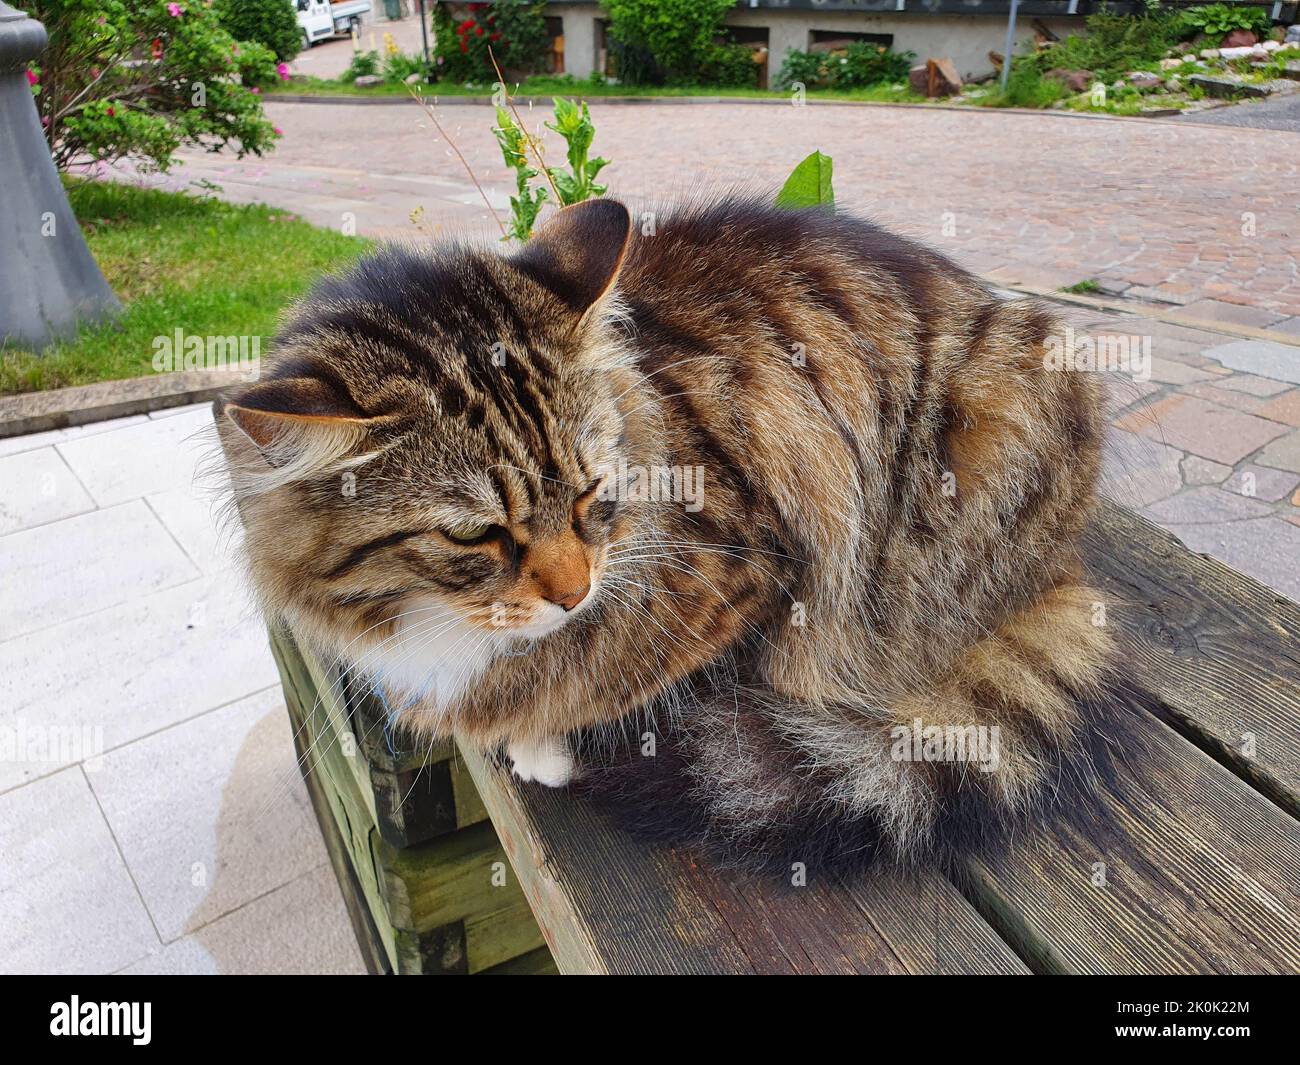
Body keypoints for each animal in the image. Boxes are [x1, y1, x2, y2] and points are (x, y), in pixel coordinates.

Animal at [218, 196, 1112, 868]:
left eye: (591, 491)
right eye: (475, 534)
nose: (574, 591)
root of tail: (1062, 559)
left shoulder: (764, 571)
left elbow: (647, 680)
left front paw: (550, 742)